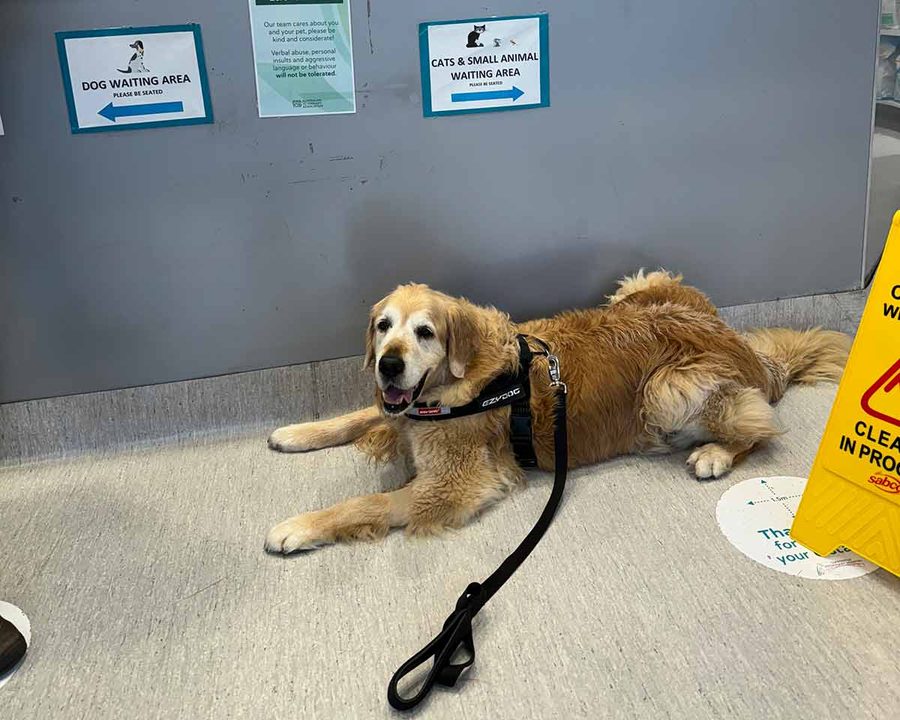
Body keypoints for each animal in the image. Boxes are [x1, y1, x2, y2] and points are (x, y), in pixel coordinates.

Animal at [264, 270, 849, 554]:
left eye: (425, 332)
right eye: (384, 326)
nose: (388, 364)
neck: (467, 383)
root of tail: (749, 350)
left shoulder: (452, 486)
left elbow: (364, 503)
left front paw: (296, 527)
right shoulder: (400, 410)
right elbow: (357, 417)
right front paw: (296, 432)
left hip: (668, 387)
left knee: (761, 425)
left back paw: (715, 454)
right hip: (641, 284)